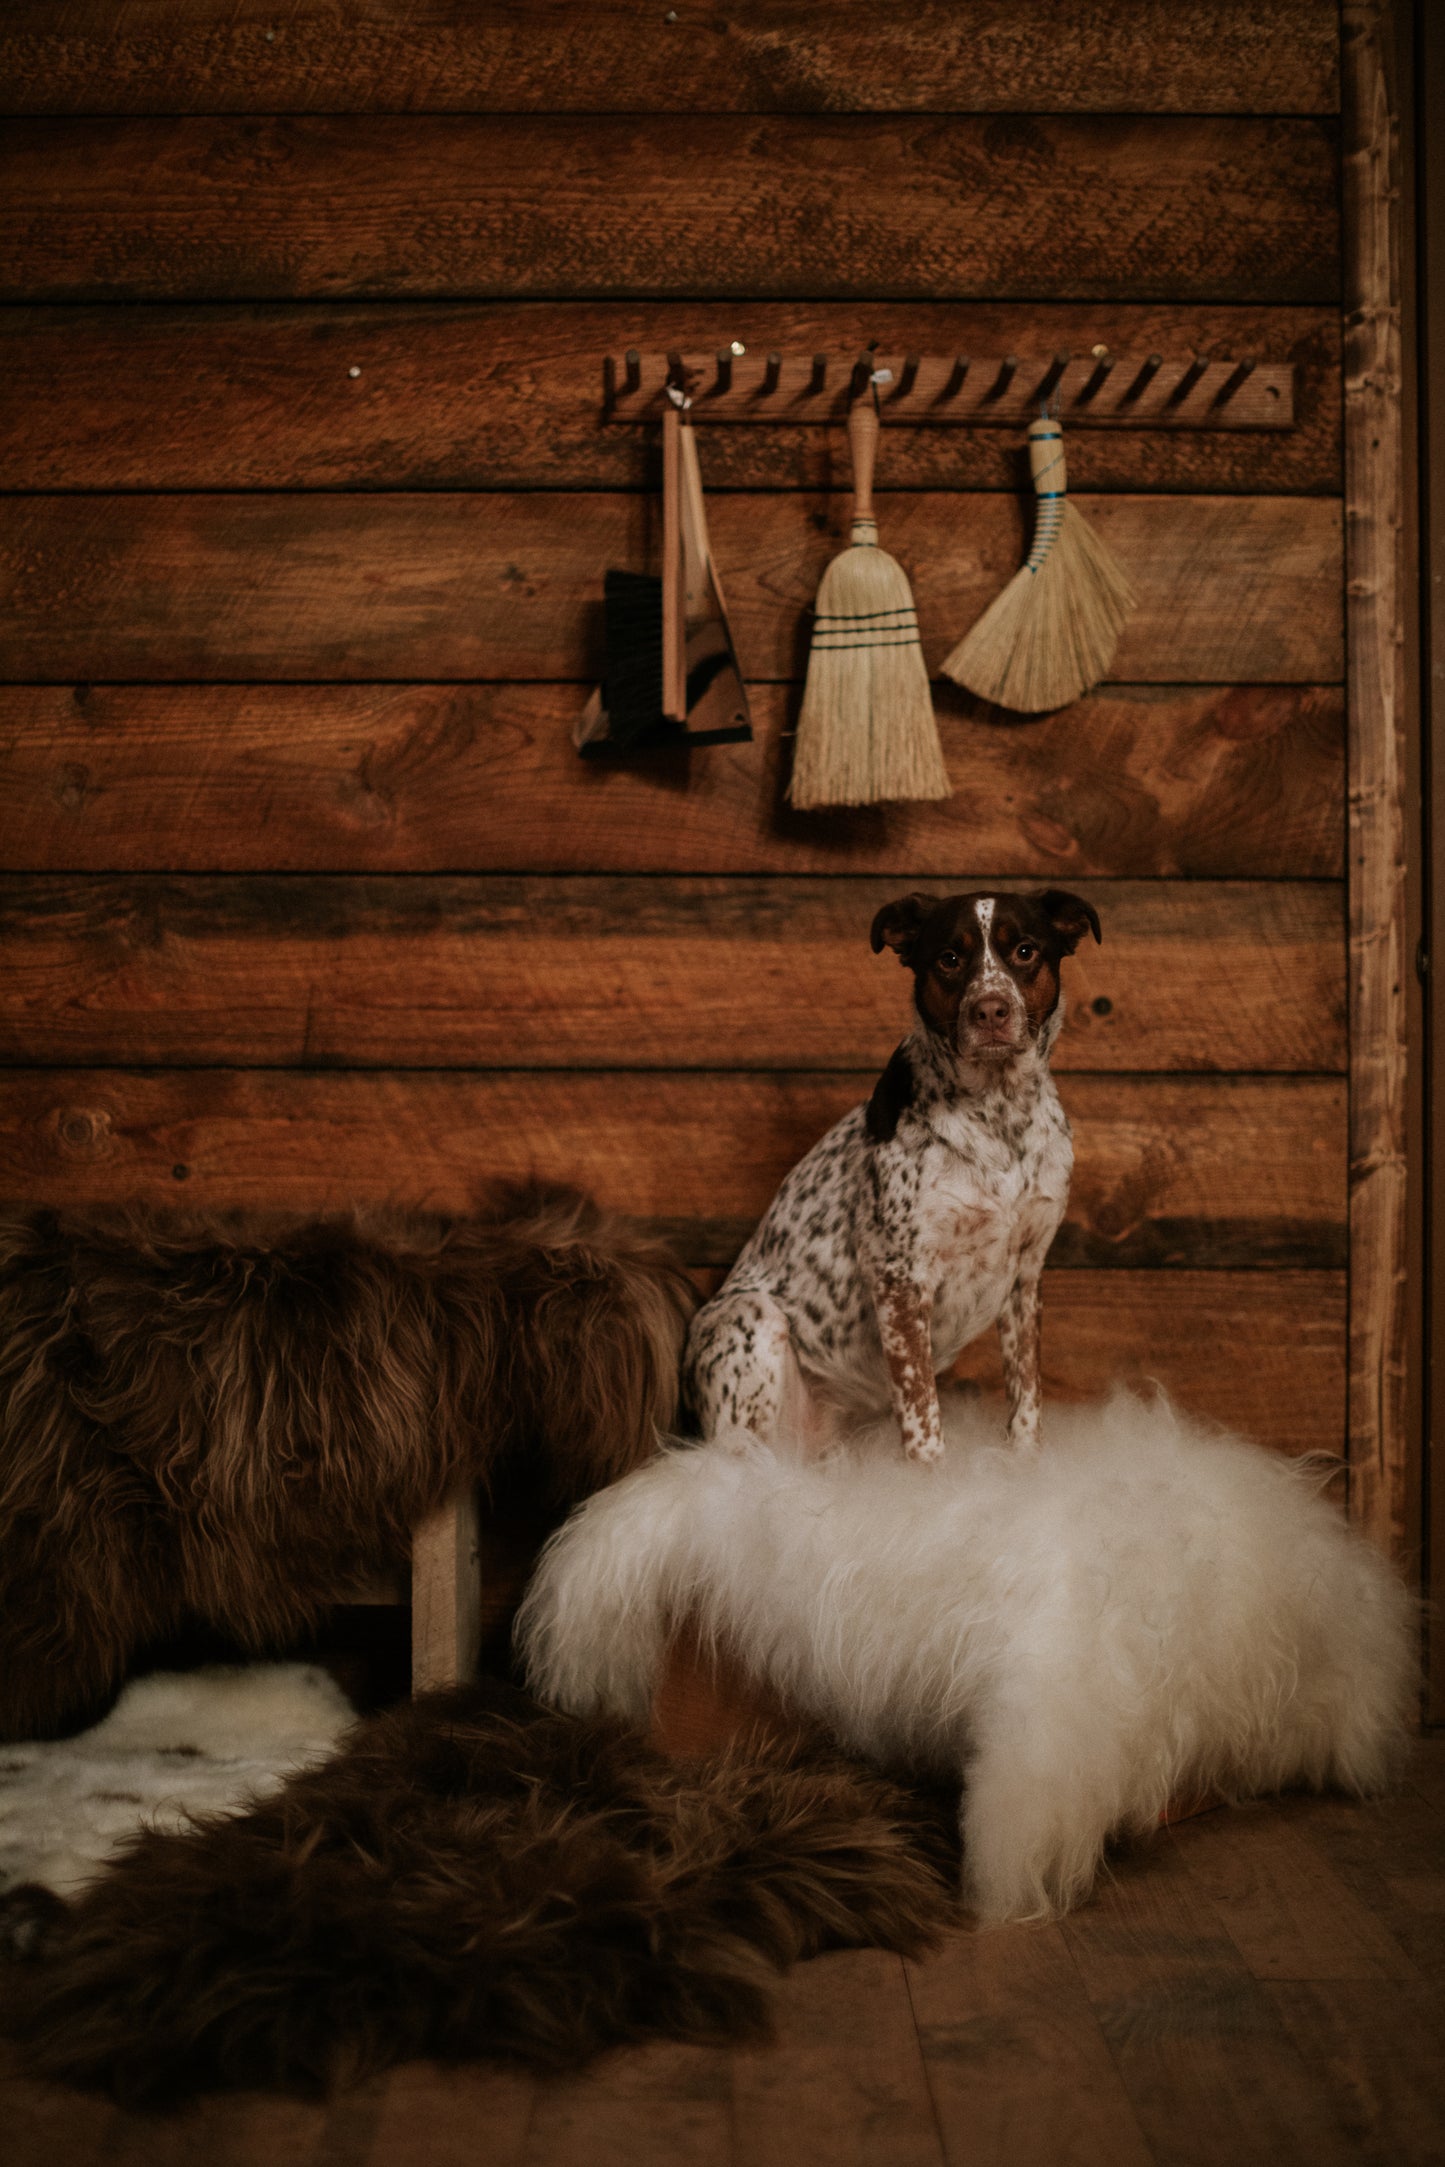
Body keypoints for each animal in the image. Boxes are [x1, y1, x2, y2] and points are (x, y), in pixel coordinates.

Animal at [684, 888, 1100, 1464]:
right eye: (949, 958)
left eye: (1025, 951)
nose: (990, 1009)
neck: (998, 1115)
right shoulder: (900, 1280)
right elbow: (923, 1421)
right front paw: (932, 1482)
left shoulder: (1026, 1275)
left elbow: (1026, 1398)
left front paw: (1023, 1466)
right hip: (754, 1319)